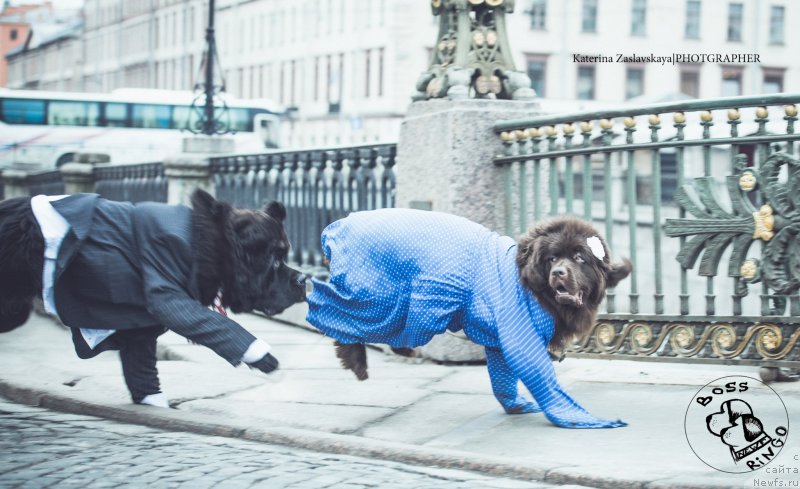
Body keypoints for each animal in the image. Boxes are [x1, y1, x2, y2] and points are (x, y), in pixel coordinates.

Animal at [0, 189, 306, 406]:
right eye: (275, 261)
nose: (304, 280)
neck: (213, 247)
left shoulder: (141, 325)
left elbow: (141, 366)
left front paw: (152, 402)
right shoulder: (167, 295)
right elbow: (221, 326)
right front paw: (266, 361)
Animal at [306, 210, 632, 428]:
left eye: (579, 258)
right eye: (552, 258)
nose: (559, 273)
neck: (533, 286)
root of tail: (336, 226)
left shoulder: (500, 342)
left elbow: (503, 378)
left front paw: (515, 405)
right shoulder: (520, 334)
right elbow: (541, 376)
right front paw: (581, 418)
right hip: (380, 295)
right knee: (327, 305)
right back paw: (352, 355)